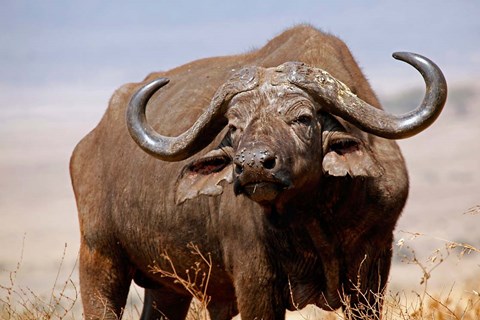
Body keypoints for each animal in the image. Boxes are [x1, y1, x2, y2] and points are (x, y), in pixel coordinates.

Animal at [70, 25, 446, 320]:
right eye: (234, 126)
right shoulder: (255, 280)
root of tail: (88, 144)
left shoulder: (373, 268)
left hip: (169, 286)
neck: (313, 218)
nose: (251, 165)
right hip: (99, 259)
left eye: (303, 118)